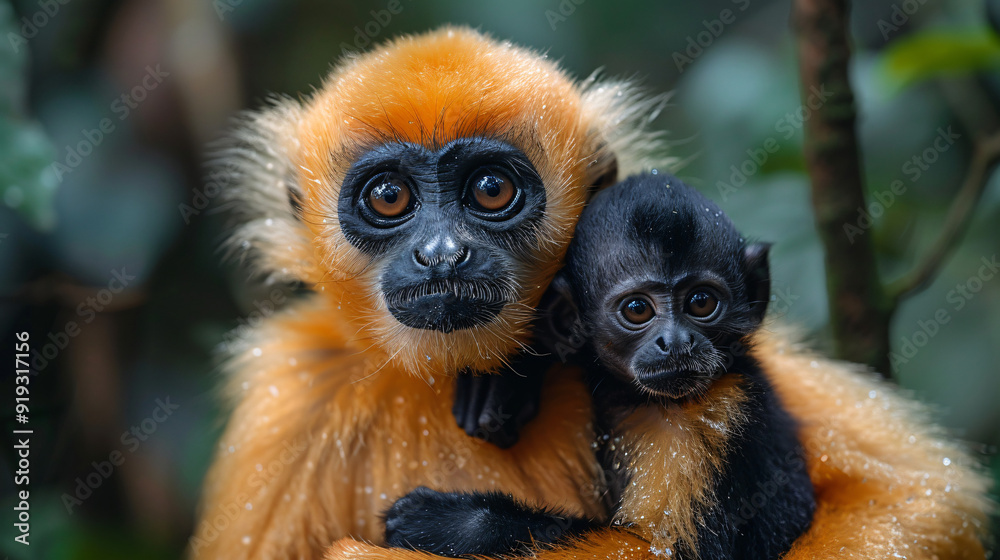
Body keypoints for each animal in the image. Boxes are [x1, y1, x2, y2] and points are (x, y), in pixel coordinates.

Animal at [381, 172, 816, 560]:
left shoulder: (714, 423)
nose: (676, 342)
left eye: (701, 302)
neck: (651, 403)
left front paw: (455, 523)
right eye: (638, 309)